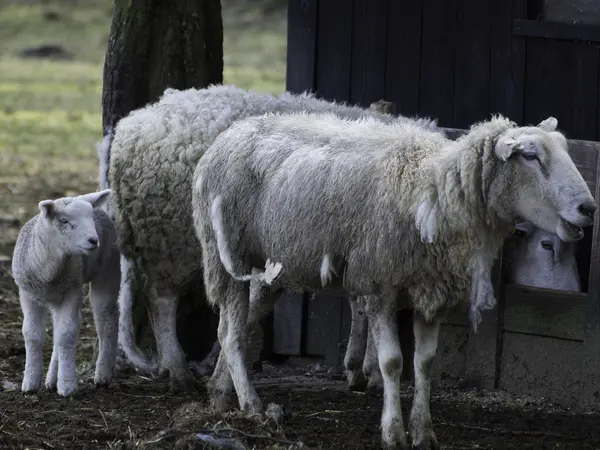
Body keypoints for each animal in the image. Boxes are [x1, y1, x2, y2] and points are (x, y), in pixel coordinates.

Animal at [12, 190, 119, 398]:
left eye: (90, 218)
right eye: (64, 221)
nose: (94, 240)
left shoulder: (72, 291)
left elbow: (67, 334)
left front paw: (67, 386)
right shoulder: (27, 293)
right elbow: (32, 334)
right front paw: (30, 383)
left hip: (108, 268)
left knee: (106, 317)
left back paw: (102, 375)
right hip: (60, 293)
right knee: (58, 329)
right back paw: (51, 379)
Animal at [104, 83, 436, 390]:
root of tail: (131, 126)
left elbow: (361, 305)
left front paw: (359, 367)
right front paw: (370, 371)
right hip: (171, 239)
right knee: (160, 299)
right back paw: (177, 370)